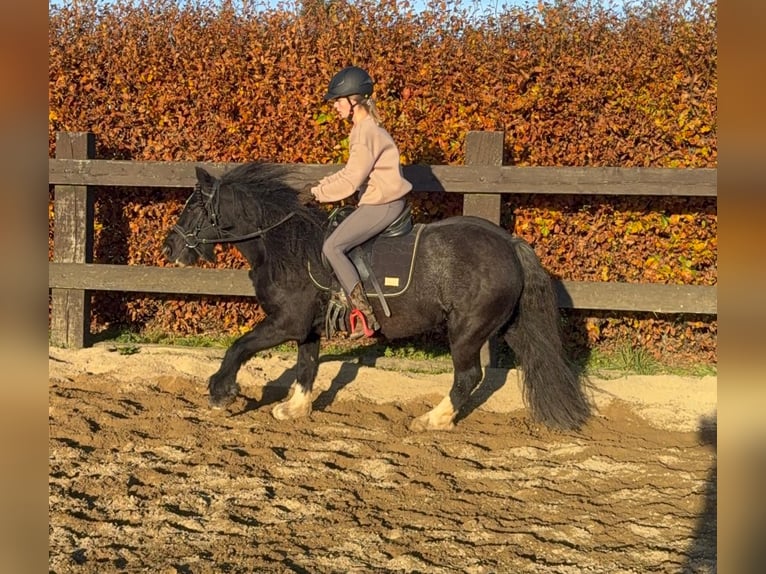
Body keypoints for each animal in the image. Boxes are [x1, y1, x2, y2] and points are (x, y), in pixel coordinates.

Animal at [161, 162, 591, 432]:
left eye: (193, 208)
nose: (169, 248)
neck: (285, 246)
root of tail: (509, 243)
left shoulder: (285, 322)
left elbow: (238, 348)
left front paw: (221, 392)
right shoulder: (306, 328)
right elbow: (306, 366)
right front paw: (294, 409)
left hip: (467, 331)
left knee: (468, 376)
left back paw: (432, 420)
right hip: (511, 326)